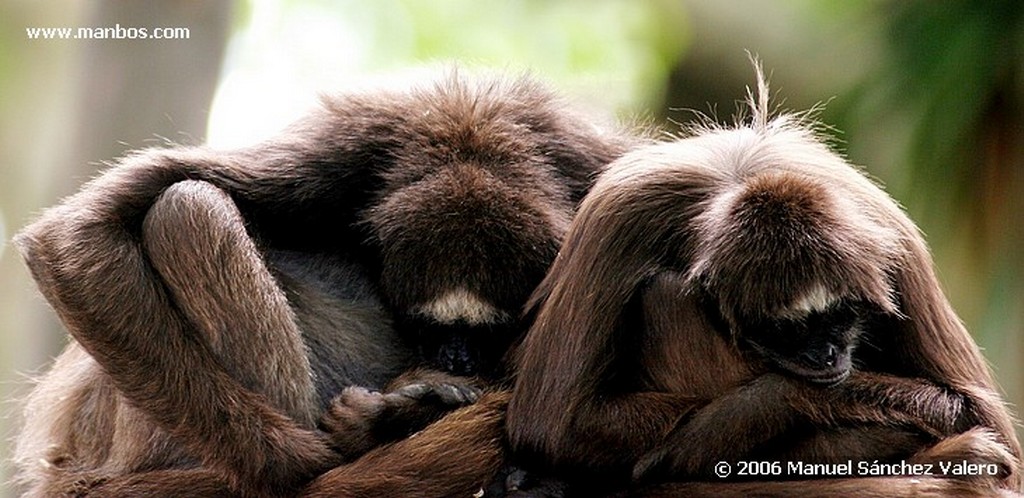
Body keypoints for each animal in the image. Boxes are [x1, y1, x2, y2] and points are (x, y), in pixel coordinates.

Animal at [14, 71, 638, 498]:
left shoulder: (589, 163)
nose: (457, 359)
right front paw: (328, 459)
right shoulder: (340, 154)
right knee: (187, 208)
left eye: (488, 333)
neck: (470, 135)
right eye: (427, 328)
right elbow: (69, 236)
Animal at [503, 66, 1024, 498]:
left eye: (841, 315)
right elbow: (553, 425)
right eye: (787, 329)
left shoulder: (890, 239)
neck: (739, 174)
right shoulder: (624, 213)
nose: (826, 354)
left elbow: (982, 418)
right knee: (663, 293)